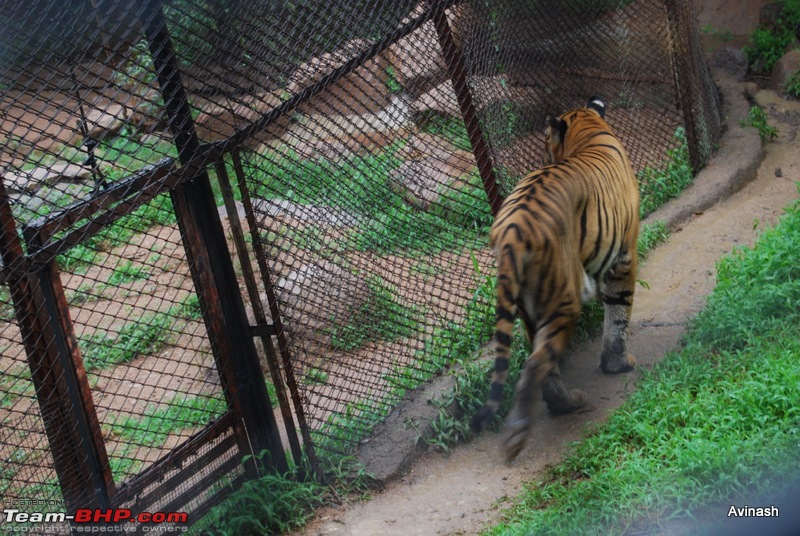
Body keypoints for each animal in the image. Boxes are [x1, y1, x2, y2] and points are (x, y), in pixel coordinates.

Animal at [472, 95, 640, 460]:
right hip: (563, 298)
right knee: (537, 363)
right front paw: (618, 363)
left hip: (529, 305)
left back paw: (563, 405)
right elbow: (619, 312)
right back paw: (522, 432)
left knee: (540, 362)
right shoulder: (624, 255)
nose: (542, 153)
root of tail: (512, 231)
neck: (590, 131)